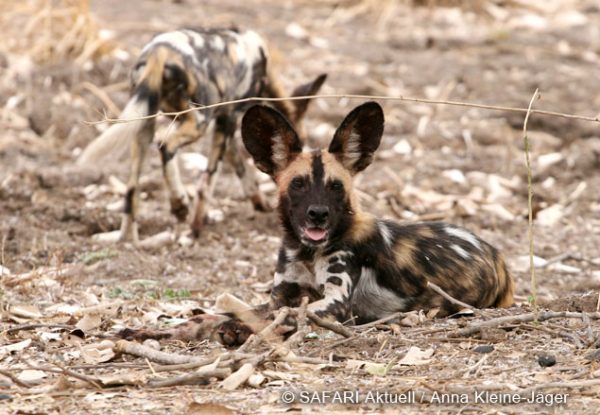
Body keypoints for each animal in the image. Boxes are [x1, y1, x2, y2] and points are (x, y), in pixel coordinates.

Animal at [78, 27, 328, 242]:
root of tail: (160, 51)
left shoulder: (227, 125)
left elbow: (240, 168)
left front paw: (259, 203)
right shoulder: (226, 120)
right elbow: (208, 182)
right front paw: (196, 226)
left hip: (142, 126)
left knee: (131, 191)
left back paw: (127, 238)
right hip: (199, 121)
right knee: (165, 144)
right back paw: (179, 204)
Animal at [240, 101, 516, 324]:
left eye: (336, 186)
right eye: (298, 184)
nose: (318, 214)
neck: (307, 253)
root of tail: (497, 255)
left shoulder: (336, 303)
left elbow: (278, 317)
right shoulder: (280, 295)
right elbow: (249, 312)